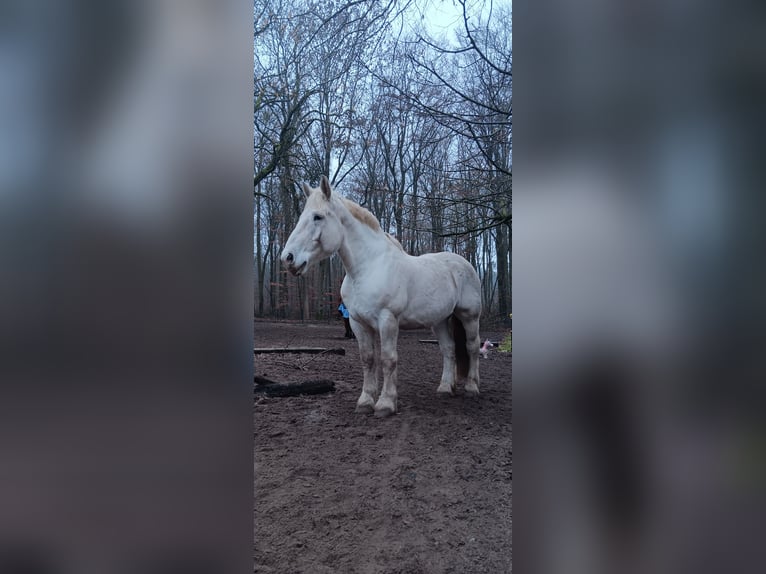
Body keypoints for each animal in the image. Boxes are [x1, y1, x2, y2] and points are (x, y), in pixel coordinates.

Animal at [280, 175, 483, 418]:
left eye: (317, 216)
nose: (288, 258)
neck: (368, 268)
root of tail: (463, 263)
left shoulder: (388, 320)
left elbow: (388, 359)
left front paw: (386, 403)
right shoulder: (358, 323)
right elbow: (368, 359)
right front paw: (365, 401)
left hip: (469, 316)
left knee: (472, 347)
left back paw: (471, 388)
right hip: (440, 320)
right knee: (449, 349)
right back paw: (445, 388)